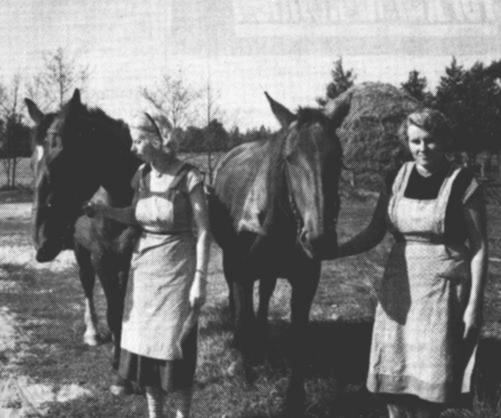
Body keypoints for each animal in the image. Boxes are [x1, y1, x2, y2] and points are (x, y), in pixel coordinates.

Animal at [25, 90, 141, 370]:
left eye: (63, 159)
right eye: (32, 163)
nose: (41, 243)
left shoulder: (129, 258)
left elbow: (123, 305)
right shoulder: (100, 257)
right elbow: (112, 310)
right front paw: (116, 360)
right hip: (81, 250)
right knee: (87, 283)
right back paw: (93, 332)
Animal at [209, 92, 350, 414]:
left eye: (337, 158)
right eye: (289, 158)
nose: (318, 239)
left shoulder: (305, 283)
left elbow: (299, 337)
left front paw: (294, 398)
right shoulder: (242, 273)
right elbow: (243, 315)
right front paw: (248, 371)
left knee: (265, 293)